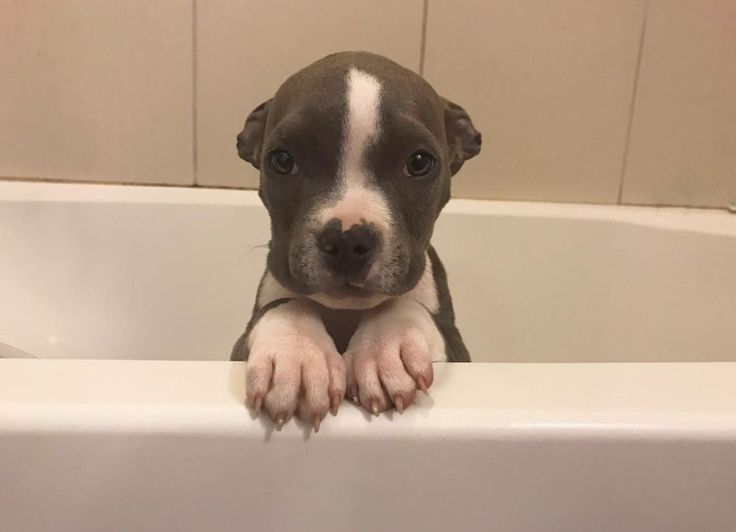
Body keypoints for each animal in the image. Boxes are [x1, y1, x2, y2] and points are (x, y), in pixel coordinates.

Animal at [231, 51, 484, 432]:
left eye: (419, 162)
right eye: (282, 160)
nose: (347, 239)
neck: (345, 314)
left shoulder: (459, 349)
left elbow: (400, 302)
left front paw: (386, 347)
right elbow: (286, 302)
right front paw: (297, 354)